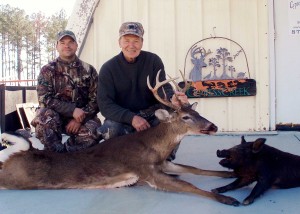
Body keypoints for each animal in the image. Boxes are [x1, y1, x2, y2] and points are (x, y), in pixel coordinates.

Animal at [0, 71, 239, 206]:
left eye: (197, 113)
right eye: (186, 117)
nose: (213, 126)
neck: (154, 147)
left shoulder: (163, 163)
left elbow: (195, 169)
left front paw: (229, 173)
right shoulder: (145, 170)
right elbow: (188, 184)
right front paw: (228, 198)